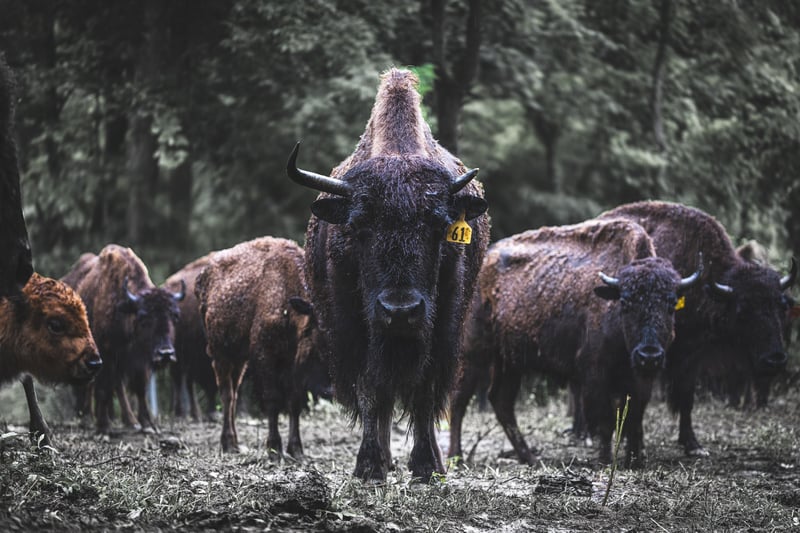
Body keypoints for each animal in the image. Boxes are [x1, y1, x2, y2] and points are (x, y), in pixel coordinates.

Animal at [288, 68, 489, 481]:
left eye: (438, 226)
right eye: (358, 226)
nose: (400, 310)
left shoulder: (440, 328)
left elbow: (424, 392)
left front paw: (426, 466)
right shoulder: (352, 329)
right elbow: (371, 390)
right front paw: (369, 465)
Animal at [448, 219, 701, 467]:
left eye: (671, 304)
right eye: (626, 303)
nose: (649, 355)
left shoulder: (640, 379)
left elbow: (634, 417)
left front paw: (635, 460)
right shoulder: (595, 374)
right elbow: (606, 420)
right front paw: (605, 459)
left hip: (510, 362)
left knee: (501, 401)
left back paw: (530, 458)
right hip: (474, 354)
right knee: (460, 399)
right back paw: (456, 457)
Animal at [599, 201, 796, 455]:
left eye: (781, 305)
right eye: (743, 309)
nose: (775, 360)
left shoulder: (692, 355)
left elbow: (686, 397)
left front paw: (692, 444)